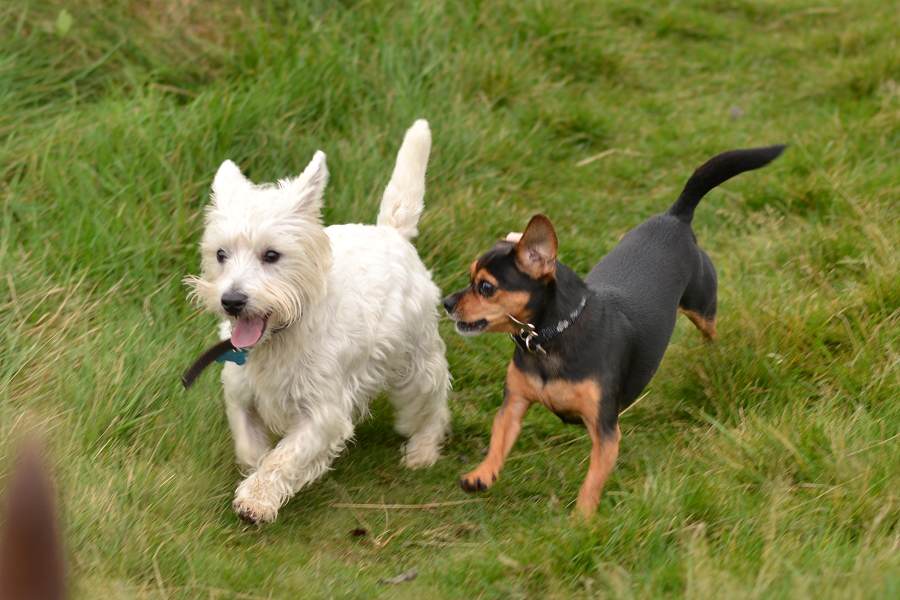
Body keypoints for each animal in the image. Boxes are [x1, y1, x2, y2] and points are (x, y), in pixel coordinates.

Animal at [185, 119, 450, 524]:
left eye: (272, 255)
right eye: (220, 254)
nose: (232, 301)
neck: (280, 338)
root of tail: (391, 232)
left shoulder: (322, 410)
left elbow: (285, 456)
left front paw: (257, 499)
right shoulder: (241, 394)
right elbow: (251, 447)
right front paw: (255, 474)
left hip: (414, 363)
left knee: (432, 403)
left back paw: (422, 451)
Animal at [446, 144, 784, 516]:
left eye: (486, 287)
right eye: (469, 277)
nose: (446, 302)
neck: (551, 339)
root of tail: (675, 218)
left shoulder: (605, 431)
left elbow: (592, 481)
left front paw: (581, 519)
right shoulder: (515, 403)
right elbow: (499, 438)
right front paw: (482, 474)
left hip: (703, 305)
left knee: (710, 330)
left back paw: (714, 356)